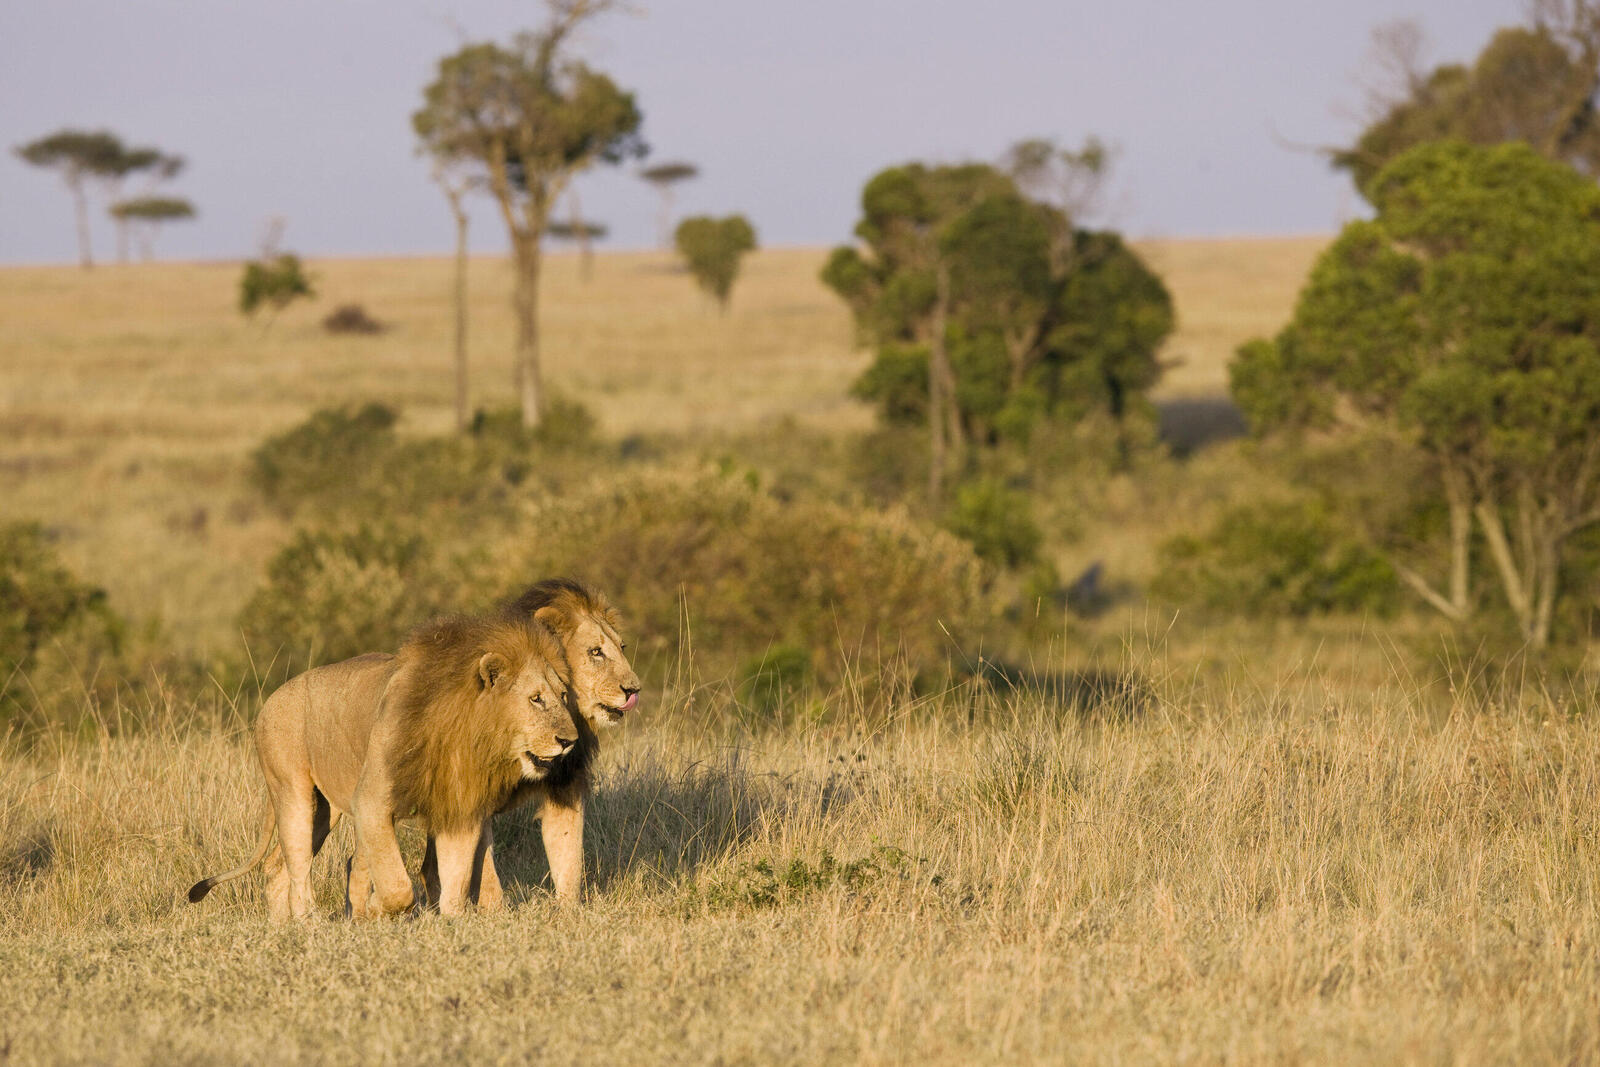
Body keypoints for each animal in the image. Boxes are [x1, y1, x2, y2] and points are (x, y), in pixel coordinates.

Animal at [188, 614, 576, 921]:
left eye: (564, 696)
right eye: (536, 699)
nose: (570, 740)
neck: (466, 733)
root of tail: (271, 698)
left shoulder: (459, 805)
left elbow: (456, 879)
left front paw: (451, 921)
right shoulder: (371, 802)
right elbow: (397, 884)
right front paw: (376, 909)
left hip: (324, 812)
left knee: (275, 867)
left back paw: (283, 925)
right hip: (293, 793)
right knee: (297, 865)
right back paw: (309, 921)